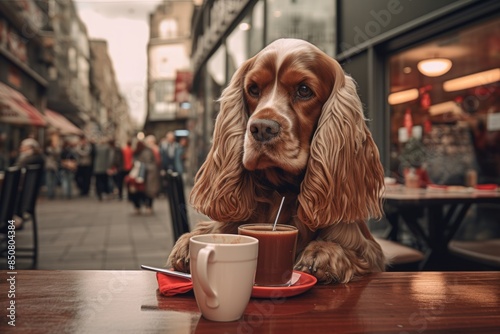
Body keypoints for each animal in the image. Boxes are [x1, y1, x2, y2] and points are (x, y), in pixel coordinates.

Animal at [169, 39, 386, 284]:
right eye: (253, 89)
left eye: (304, 90)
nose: (262, 128)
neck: (282, 190)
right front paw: (190, 243)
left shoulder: (369, 250)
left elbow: (348, 250)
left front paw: (323, 252)